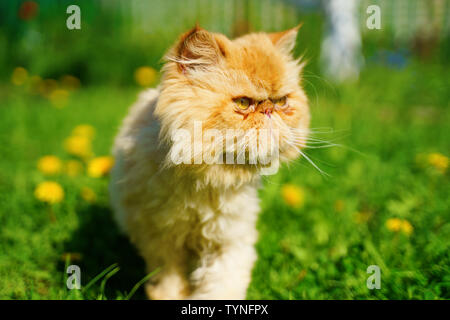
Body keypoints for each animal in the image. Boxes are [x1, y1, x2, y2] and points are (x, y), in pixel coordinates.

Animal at [110, 25, 312, 300]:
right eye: (243, 103)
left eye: (281, 102)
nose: (269, 110)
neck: (206, 178)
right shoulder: (160, 240)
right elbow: (169, 284)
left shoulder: (230, 239)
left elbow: (220, 286)